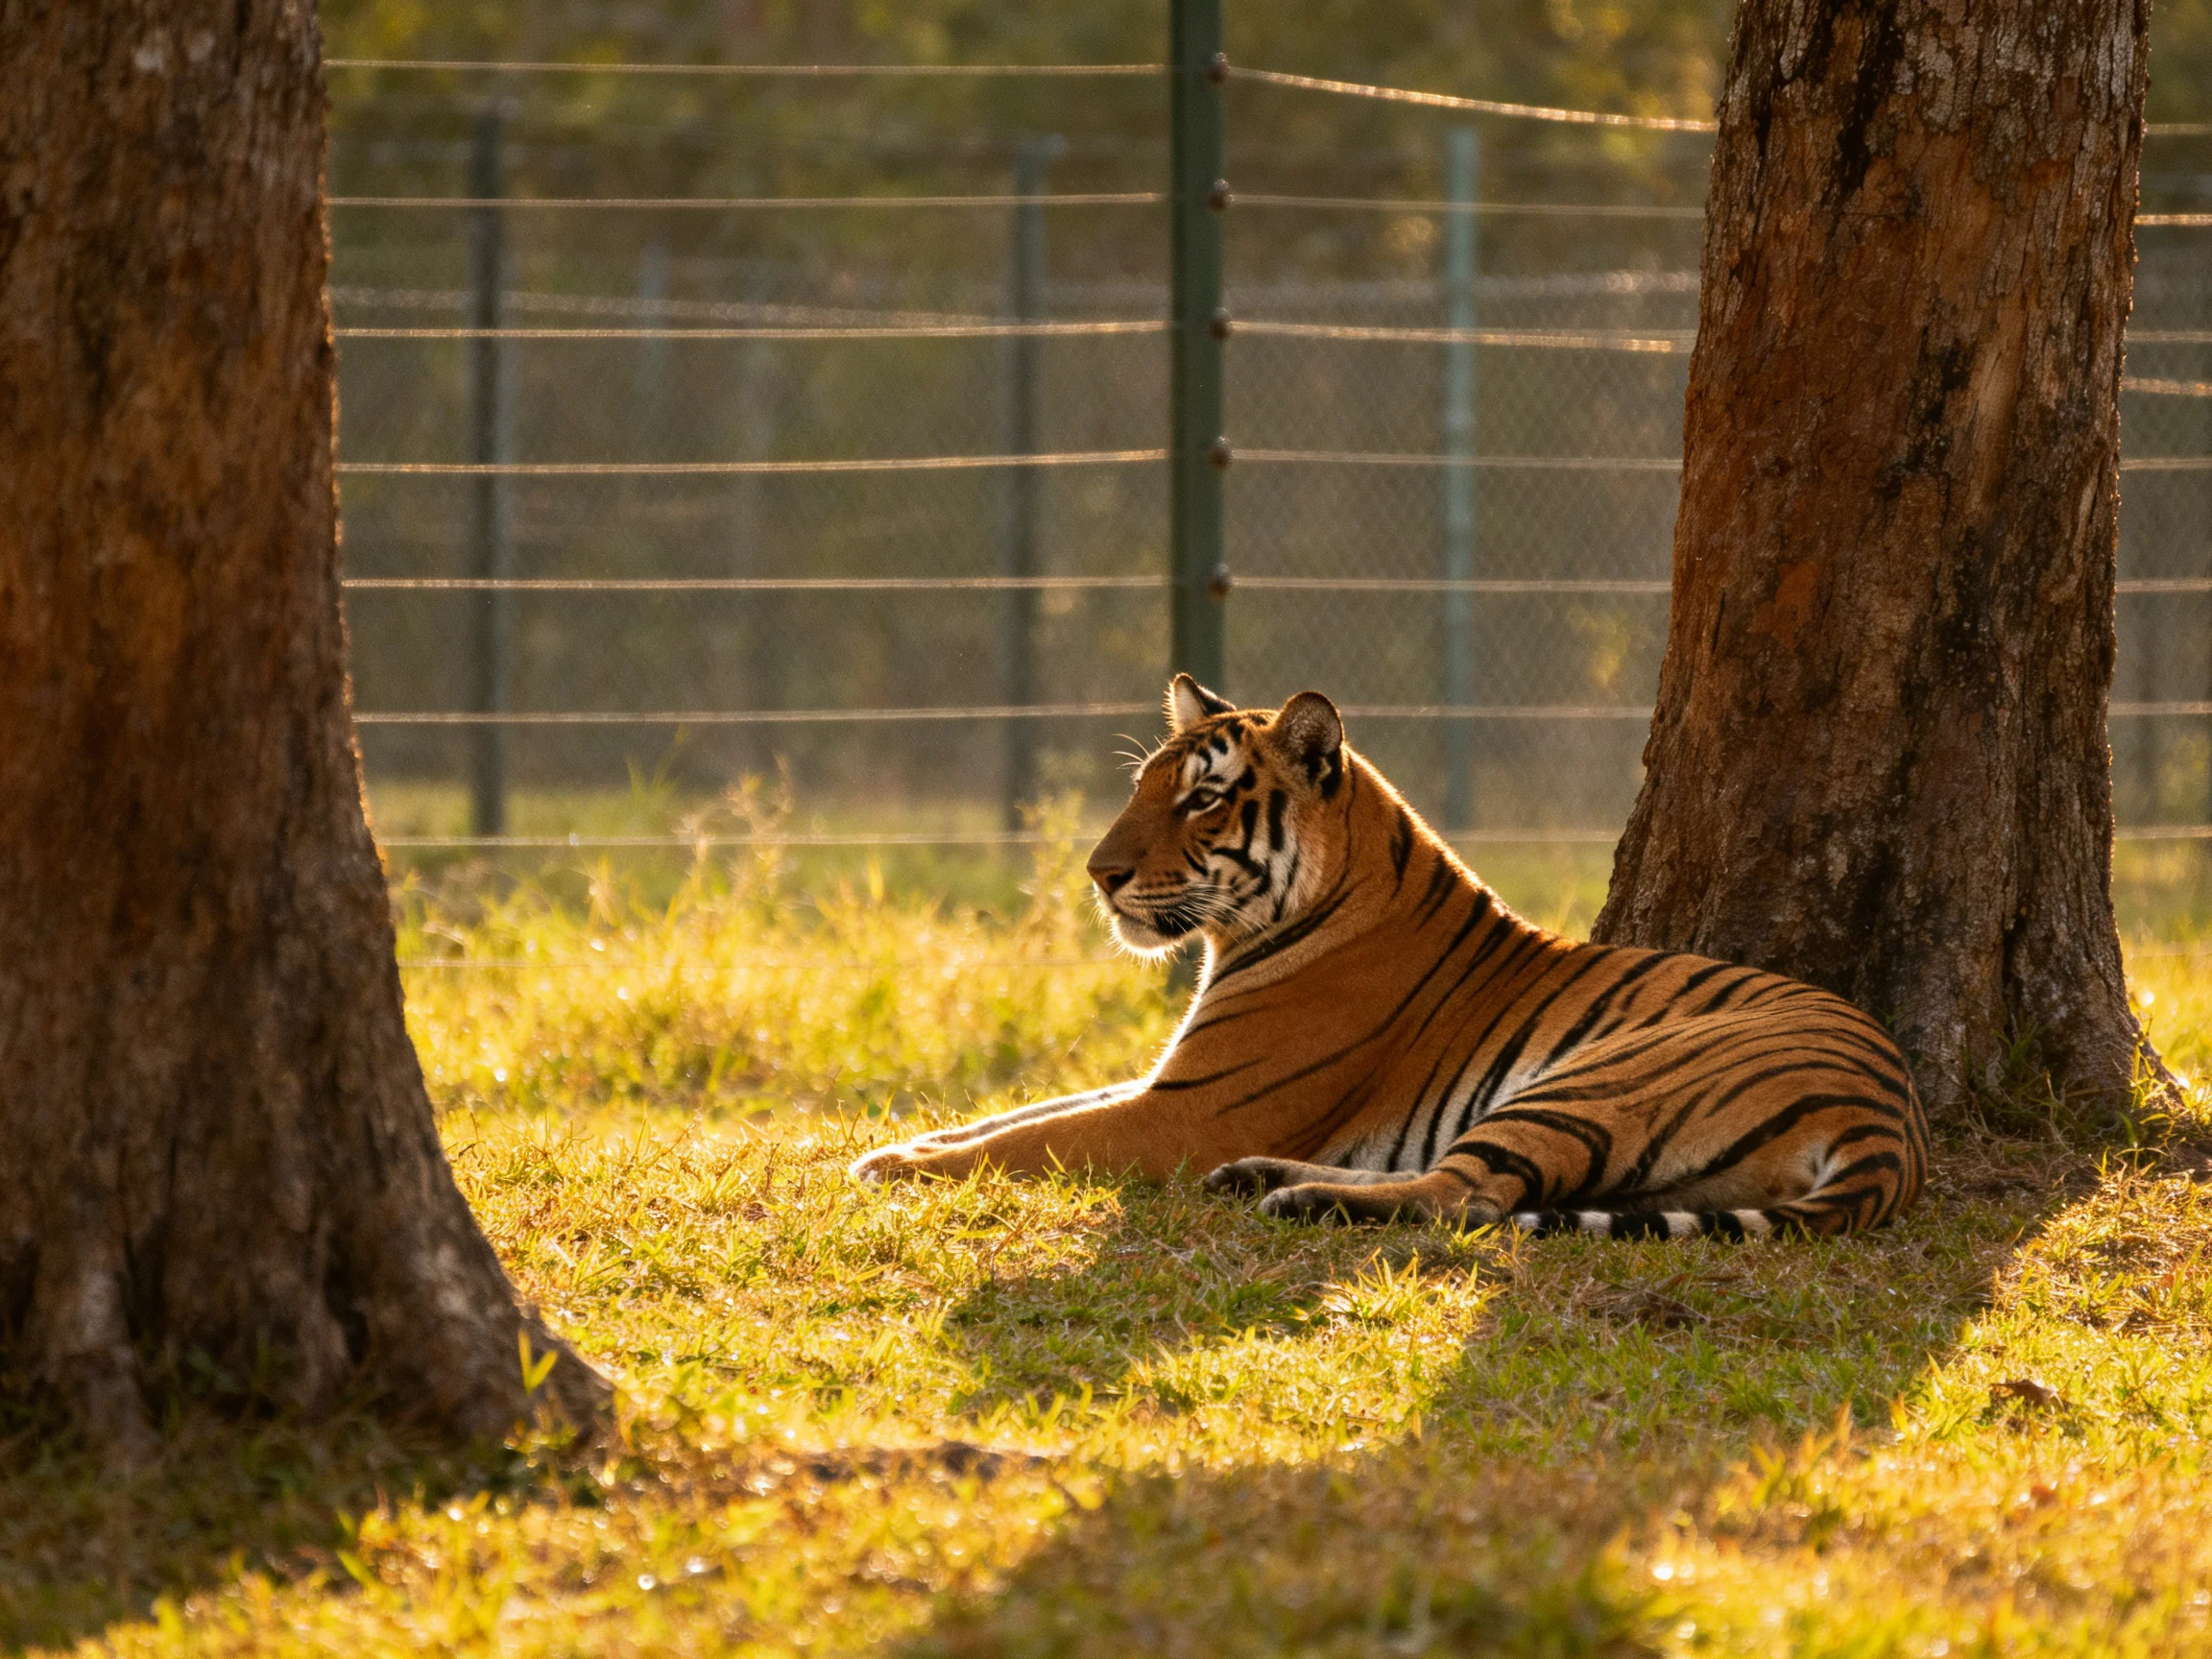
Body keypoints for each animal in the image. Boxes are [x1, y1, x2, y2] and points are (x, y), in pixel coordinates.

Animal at [850, 675, 1927, 1239]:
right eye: (1145, 785)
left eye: (1202, 798)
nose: (1097, 873)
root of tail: (1893, 1122)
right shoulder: (1165, 1085)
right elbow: (1018, 1113)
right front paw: (899, 1143)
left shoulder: (1184, 1111)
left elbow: (1030, 1139)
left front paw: (892, 1166)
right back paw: (1260, 1178)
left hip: (1599, 1077)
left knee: (1472, 1196)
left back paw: (1296, 1196)